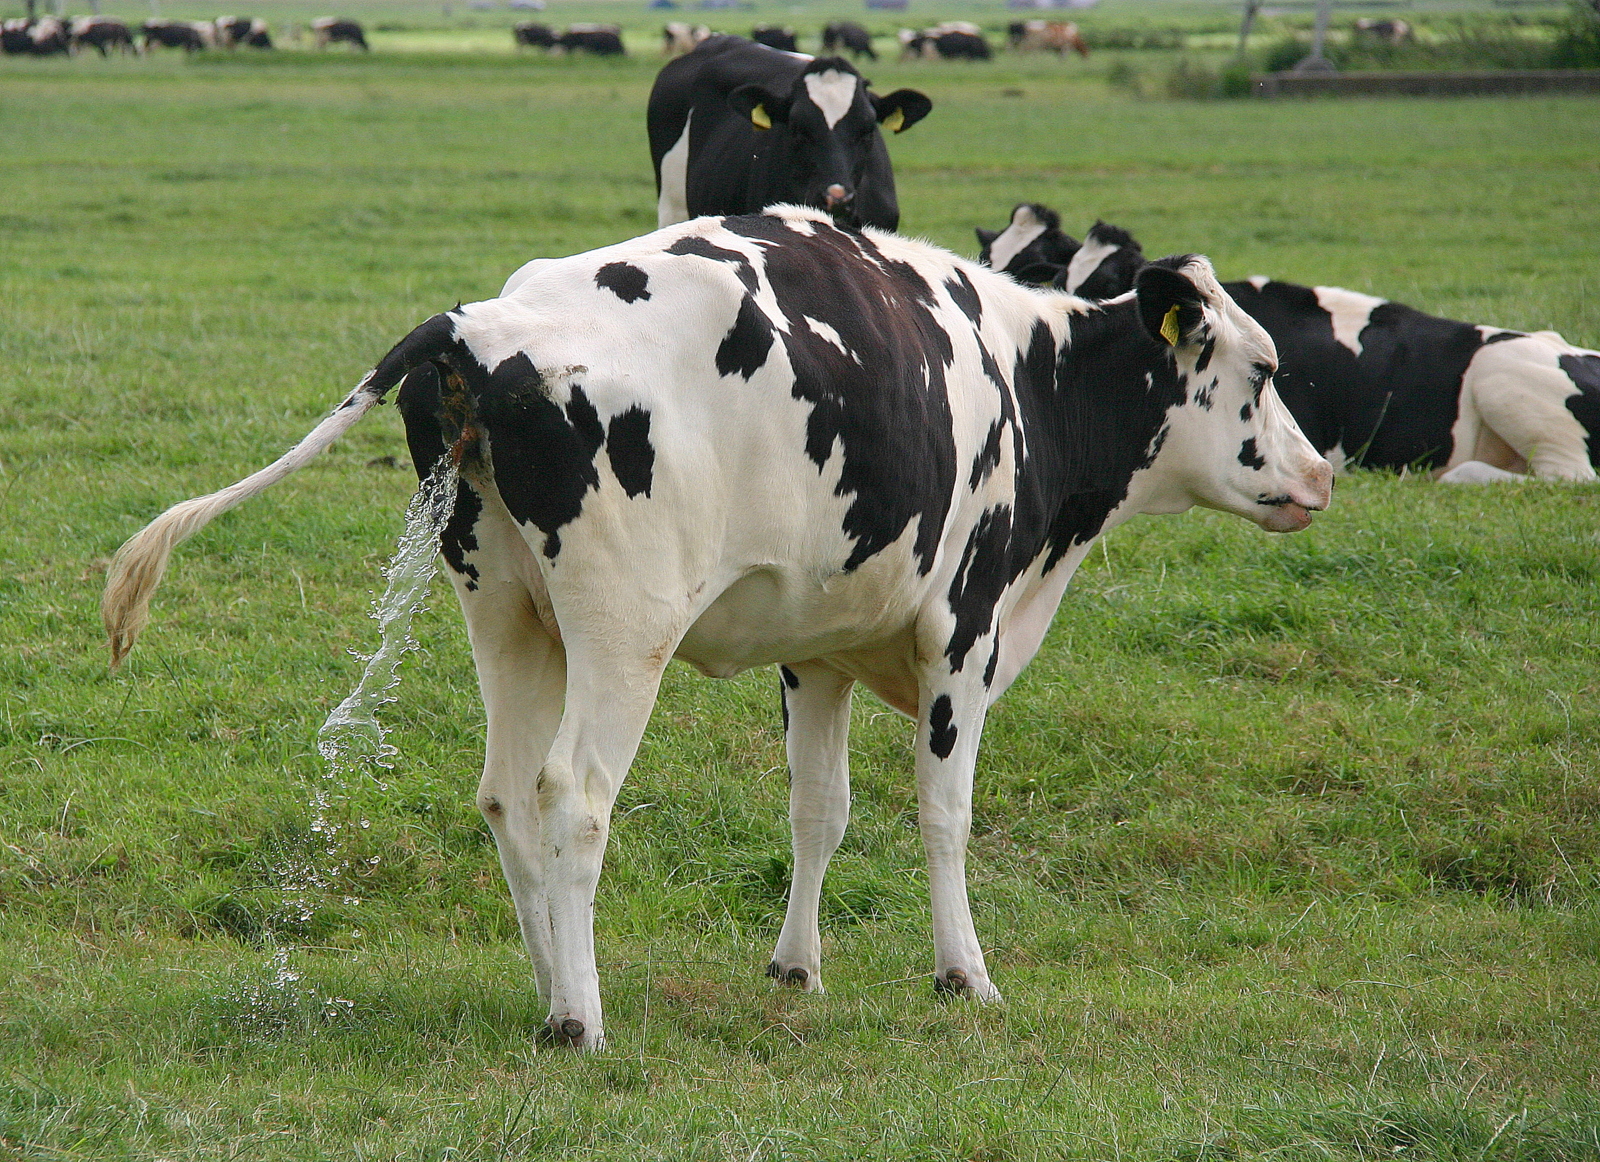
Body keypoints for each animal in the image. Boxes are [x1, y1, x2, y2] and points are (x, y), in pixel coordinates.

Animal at [101, 208, 1330, 1053]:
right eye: (1265, 370)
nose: (1323, 471)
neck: (1029, 380)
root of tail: (481, 325)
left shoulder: (817, 651)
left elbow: (819, 812)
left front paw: (796, 968)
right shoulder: (963, 634)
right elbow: (943, 815)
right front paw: (964, 975)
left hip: (504, 612)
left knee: (504, 795)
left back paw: (552, 991)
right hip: (622, 631)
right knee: (571, 794)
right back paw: (583, 1021)